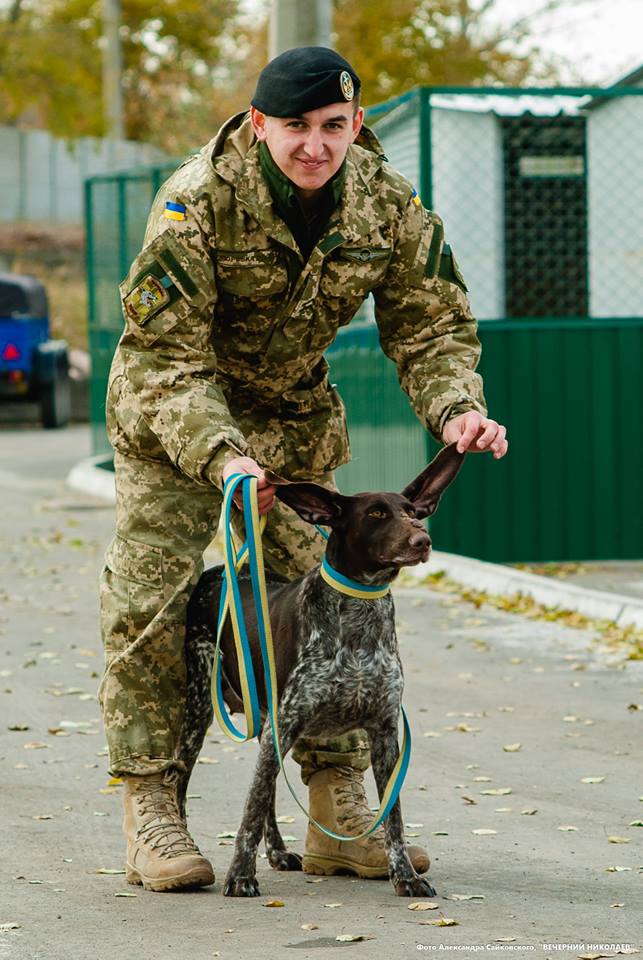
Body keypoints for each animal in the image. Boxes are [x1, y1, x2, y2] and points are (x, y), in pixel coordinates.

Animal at [179, 442, 466, 900]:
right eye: (376, 514)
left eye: (411, 511)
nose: (423, 540)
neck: (359, 619)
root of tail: (221, 571)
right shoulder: (287, 723)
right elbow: (249, 810)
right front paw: (240, 875)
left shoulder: (384, 734)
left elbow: (394, 817)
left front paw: (404, 875)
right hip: (199, 711)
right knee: (183, 782)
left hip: (263, 725)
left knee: (267, 791)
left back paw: (279, 852)